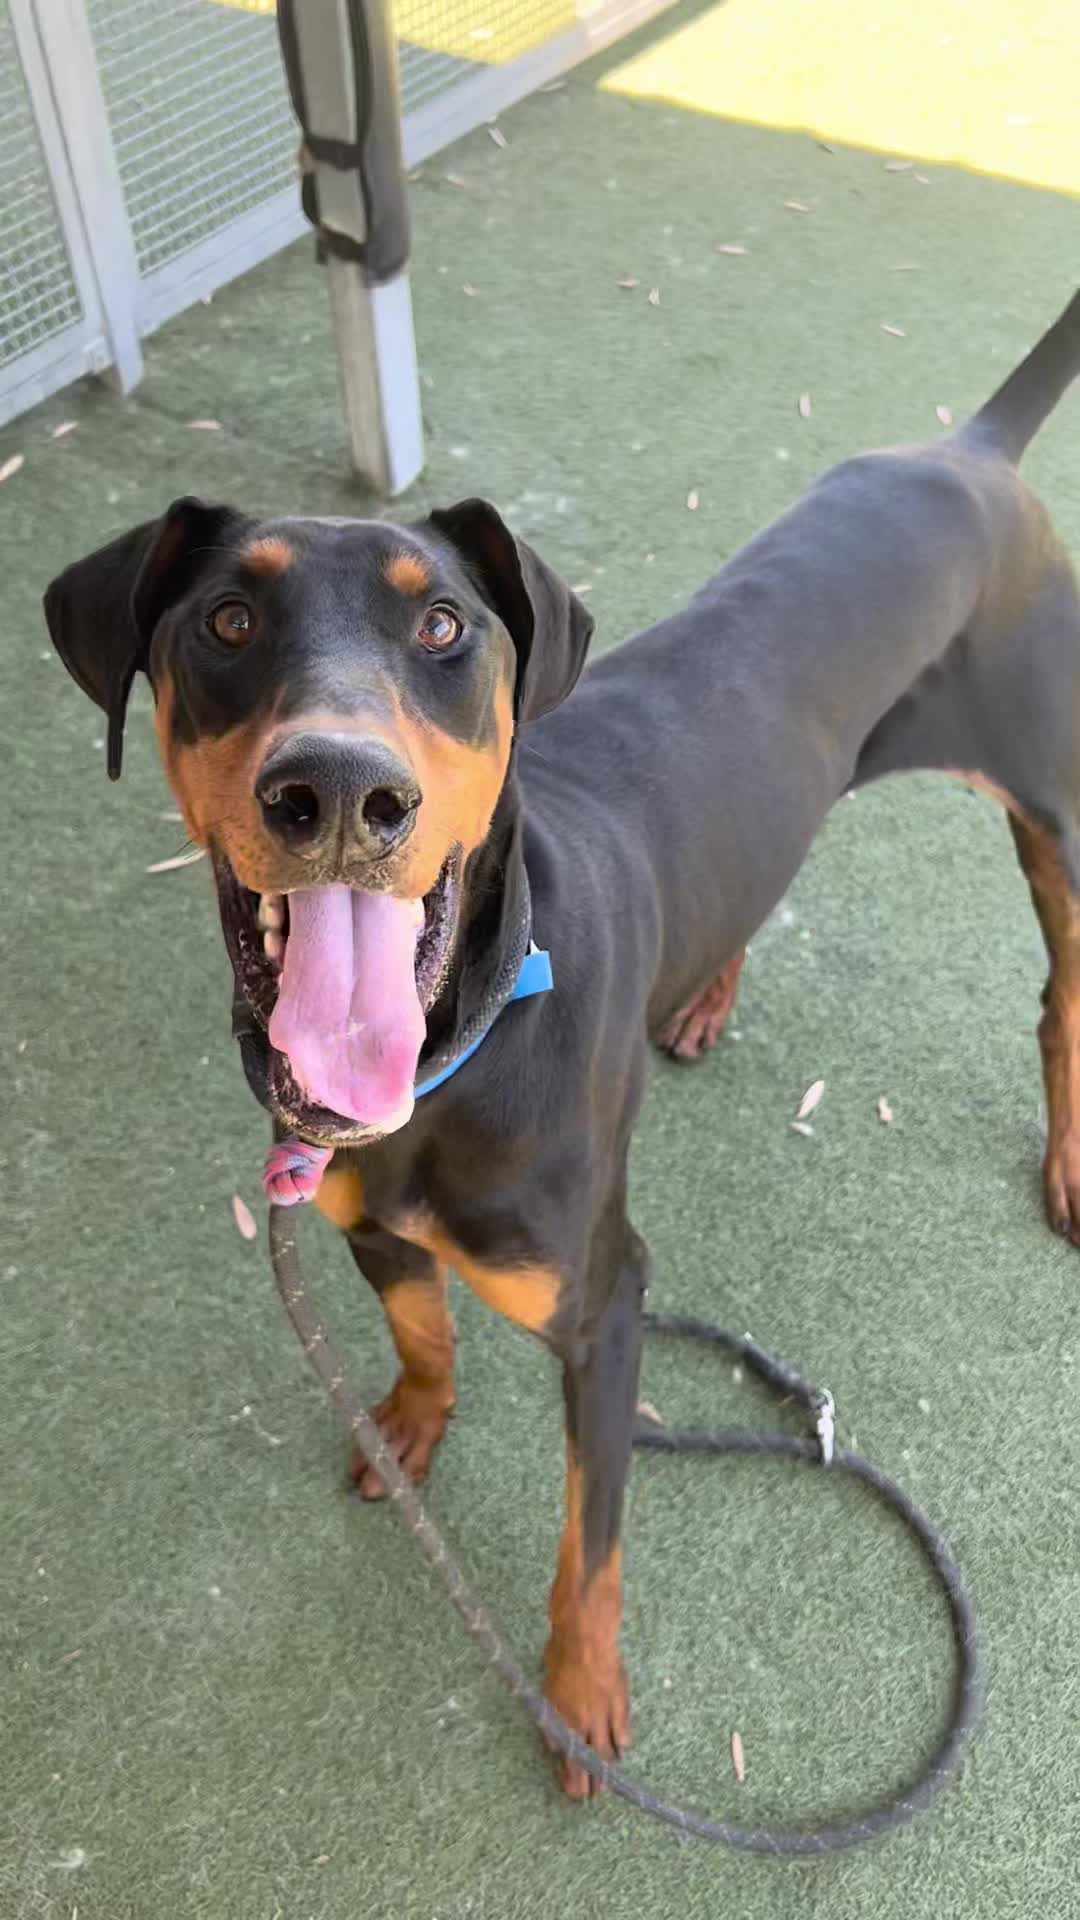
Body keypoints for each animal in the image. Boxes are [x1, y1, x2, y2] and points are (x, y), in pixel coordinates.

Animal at [44, 289, 1080, 1798]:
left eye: (443, 627)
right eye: (227, 617)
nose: (337, 789)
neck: (455, 1054)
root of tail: (971, 451)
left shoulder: (607, 1310)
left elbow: (590, 1542)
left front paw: (580, 1694)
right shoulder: (368, 1219)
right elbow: (423, 1327)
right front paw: (408, 1426)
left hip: (1053, 802)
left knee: (1062, 992)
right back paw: (702, 999)